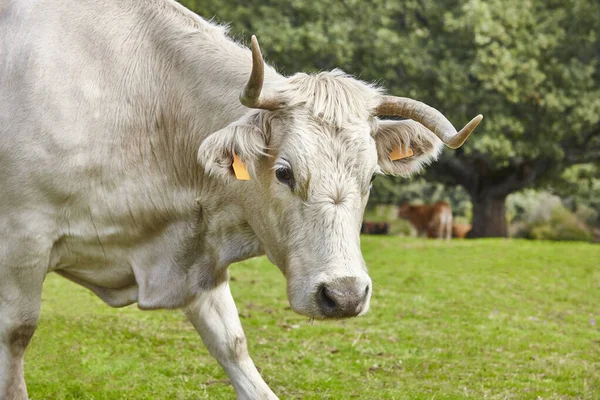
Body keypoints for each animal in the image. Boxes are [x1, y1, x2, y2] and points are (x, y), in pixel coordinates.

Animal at [0, 0, 480, 398]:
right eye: (284, 172)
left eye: (372, 178)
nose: (344, 295)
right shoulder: (23, 241)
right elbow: (17, 334)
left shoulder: (198, 260)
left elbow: (232, 344)